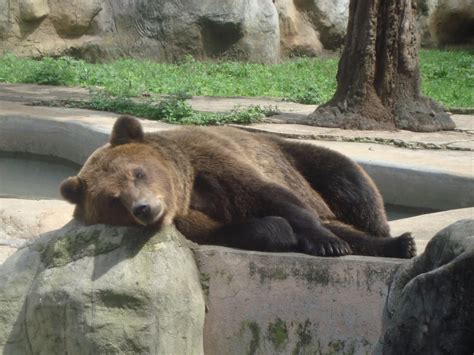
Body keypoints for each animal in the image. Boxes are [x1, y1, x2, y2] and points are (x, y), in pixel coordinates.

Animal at [60, 117, 414, 258]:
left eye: (138, 173)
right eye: (113, 199)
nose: (144, 208)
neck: (188, 194)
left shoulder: (211, 164)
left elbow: (273, 197)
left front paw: (328, 244)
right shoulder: (191, 221)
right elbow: (234, 230)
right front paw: (279, 232)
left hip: (296, 157)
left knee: (349, 181)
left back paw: (395, 239)